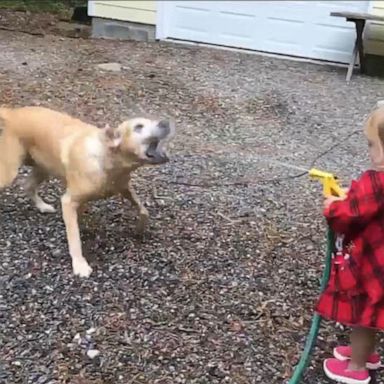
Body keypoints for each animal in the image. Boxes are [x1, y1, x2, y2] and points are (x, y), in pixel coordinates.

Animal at [0, 106, 174, 278]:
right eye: (138, 127)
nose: (166, 123)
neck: (107, 157)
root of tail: (12, 113)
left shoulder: (124, 188)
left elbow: (143, 210)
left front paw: (140, 229)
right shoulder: (68, 201)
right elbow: (74, 238)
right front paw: (79, 264)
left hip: (43, 168)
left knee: (28, 185)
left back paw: (42, 206)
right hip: (10, 172)